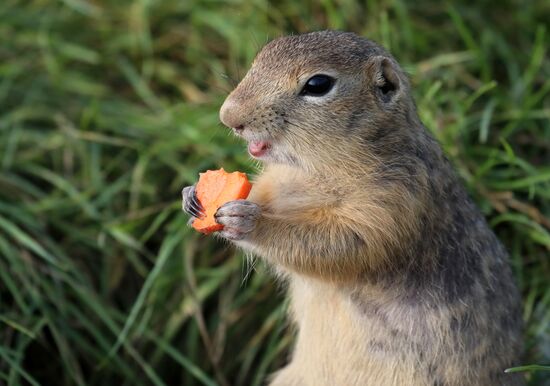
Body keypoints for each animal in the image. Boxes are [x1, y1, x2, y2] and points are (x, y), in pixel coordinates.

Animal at [184, 30, 528, 386]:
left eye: (318, 84)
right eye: (262, 54)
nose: (228, 117)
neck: (313, 169)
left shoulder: (394, 201)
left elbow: (340, 246)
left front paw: (248, 222)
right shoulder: (277, 183)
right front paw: (192, 195)